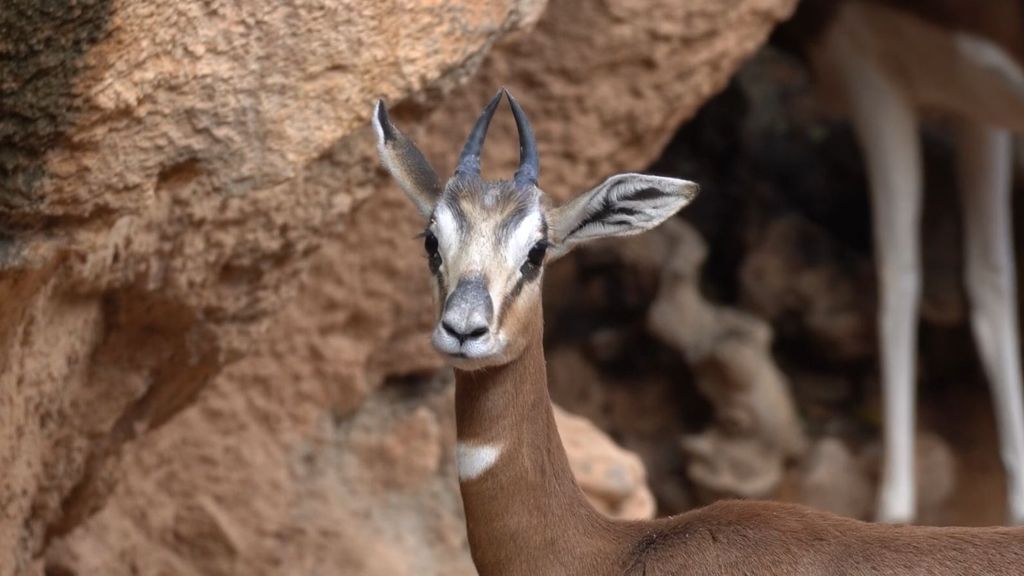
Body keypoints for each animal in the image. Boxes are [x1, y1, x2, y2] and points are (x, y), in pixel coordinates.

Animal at [777, 0, 1024, 523]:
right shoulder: (977, 113)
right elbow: (991, 277)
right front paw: (1018, 500)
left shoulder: (868, 72)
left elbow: (898, 275)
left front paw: (894, 505)